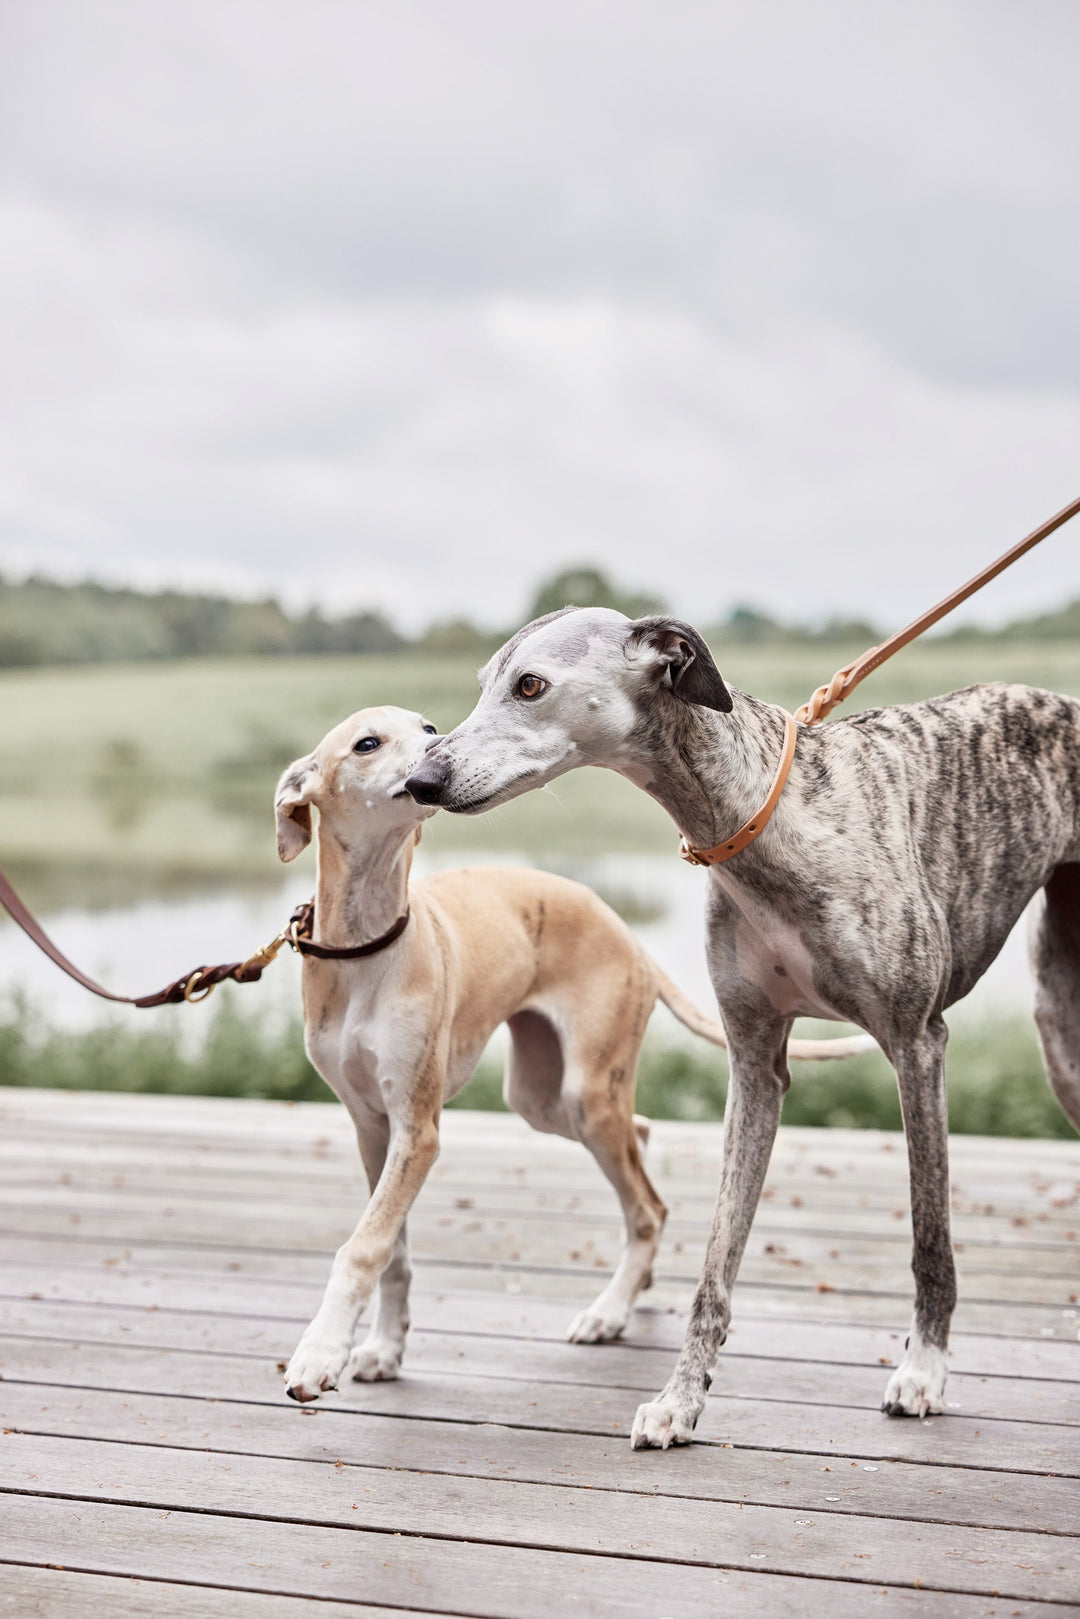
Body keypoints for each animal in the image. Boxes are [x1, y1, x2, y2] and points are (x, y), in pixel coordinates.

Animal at [276, 709, 867, 1405]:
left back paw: (609, 1311)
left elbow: (362, 1248)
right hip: (544, 1098)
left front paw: (317, 1355)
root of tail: (631, 937)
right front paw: (383, 1349)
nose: (442, 753)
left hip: (581, 1093)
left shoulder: (416, 1132)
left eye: (426, 725)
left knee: (647, 1205)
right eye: (367, 743)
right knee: (640, 1135)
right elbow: (391, 1248)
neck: (367, 946)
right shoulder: (372, 1125)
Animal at [404, 611, 1080, 1450]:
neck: (763, 817)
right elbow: (715, 1262)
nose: (420, 781)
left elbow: (931, 1239)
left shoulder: (918, 1044)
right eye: (483, 685)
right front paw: (679, 1400)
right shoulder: (755, 1061)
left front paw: (924, 1369)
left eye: (530, 684)